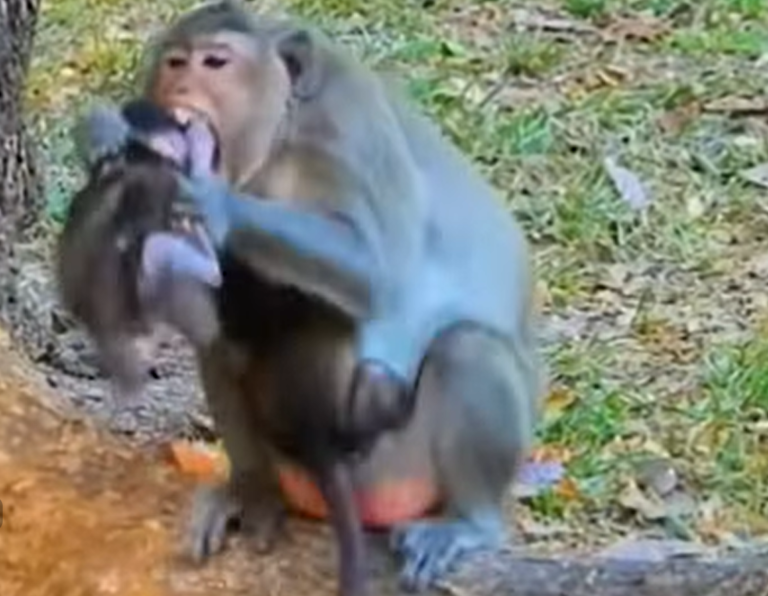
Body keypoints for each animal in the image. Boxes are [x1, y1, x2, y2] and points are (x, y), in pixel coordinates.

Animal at [76, 0, 545, 593]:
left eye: (215, 62)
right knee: (222, 346)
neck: (276, 143)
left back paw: (470, 519)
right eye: (175, 62)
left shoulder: (345, 122)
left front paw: (212, 199)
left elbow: (374, 269)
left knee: (468, 348)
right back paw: (251, 487)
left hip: (401, 458)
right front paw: (105, 142)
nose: (179, 85)